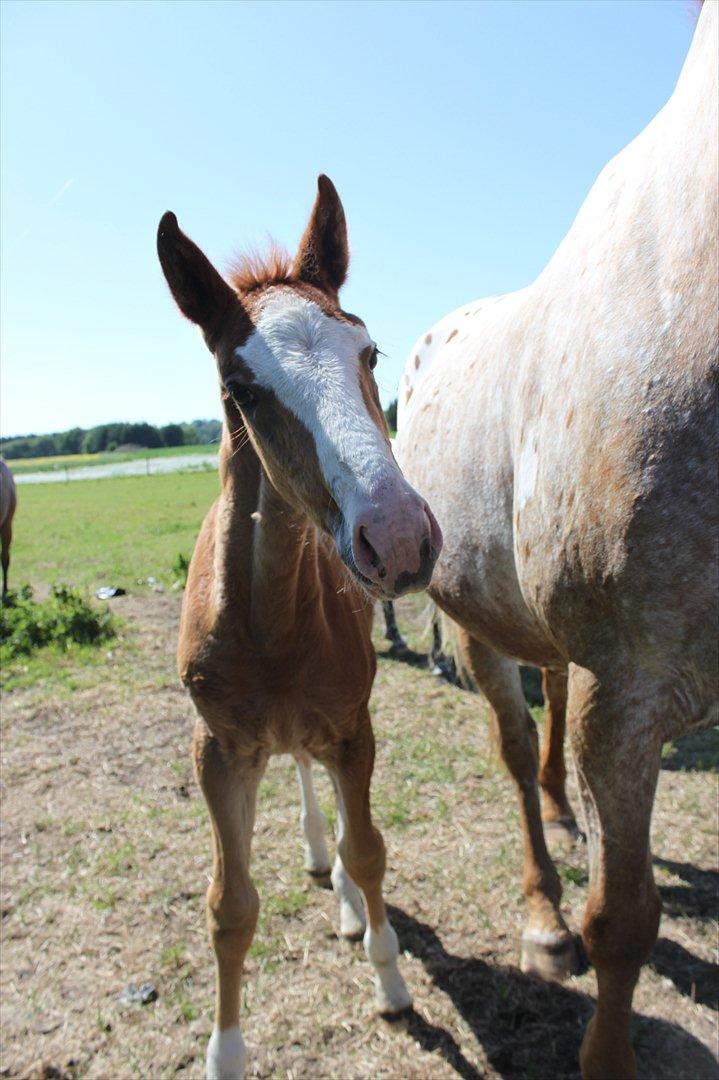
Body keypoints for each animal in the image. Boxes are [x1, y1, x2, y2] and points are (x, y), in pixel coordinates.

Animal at [156, 177, 440, 1080]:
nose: (398, 538)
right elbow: (229, 906)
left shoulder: (353, 727)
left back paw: (345, 898)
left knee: (331, 803)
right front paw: (225, 1052)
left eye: (370, 354)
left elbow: (371, 849)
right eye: (240, 387)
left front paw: (390, 982)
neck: (272, 625)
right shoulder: (216, 750)